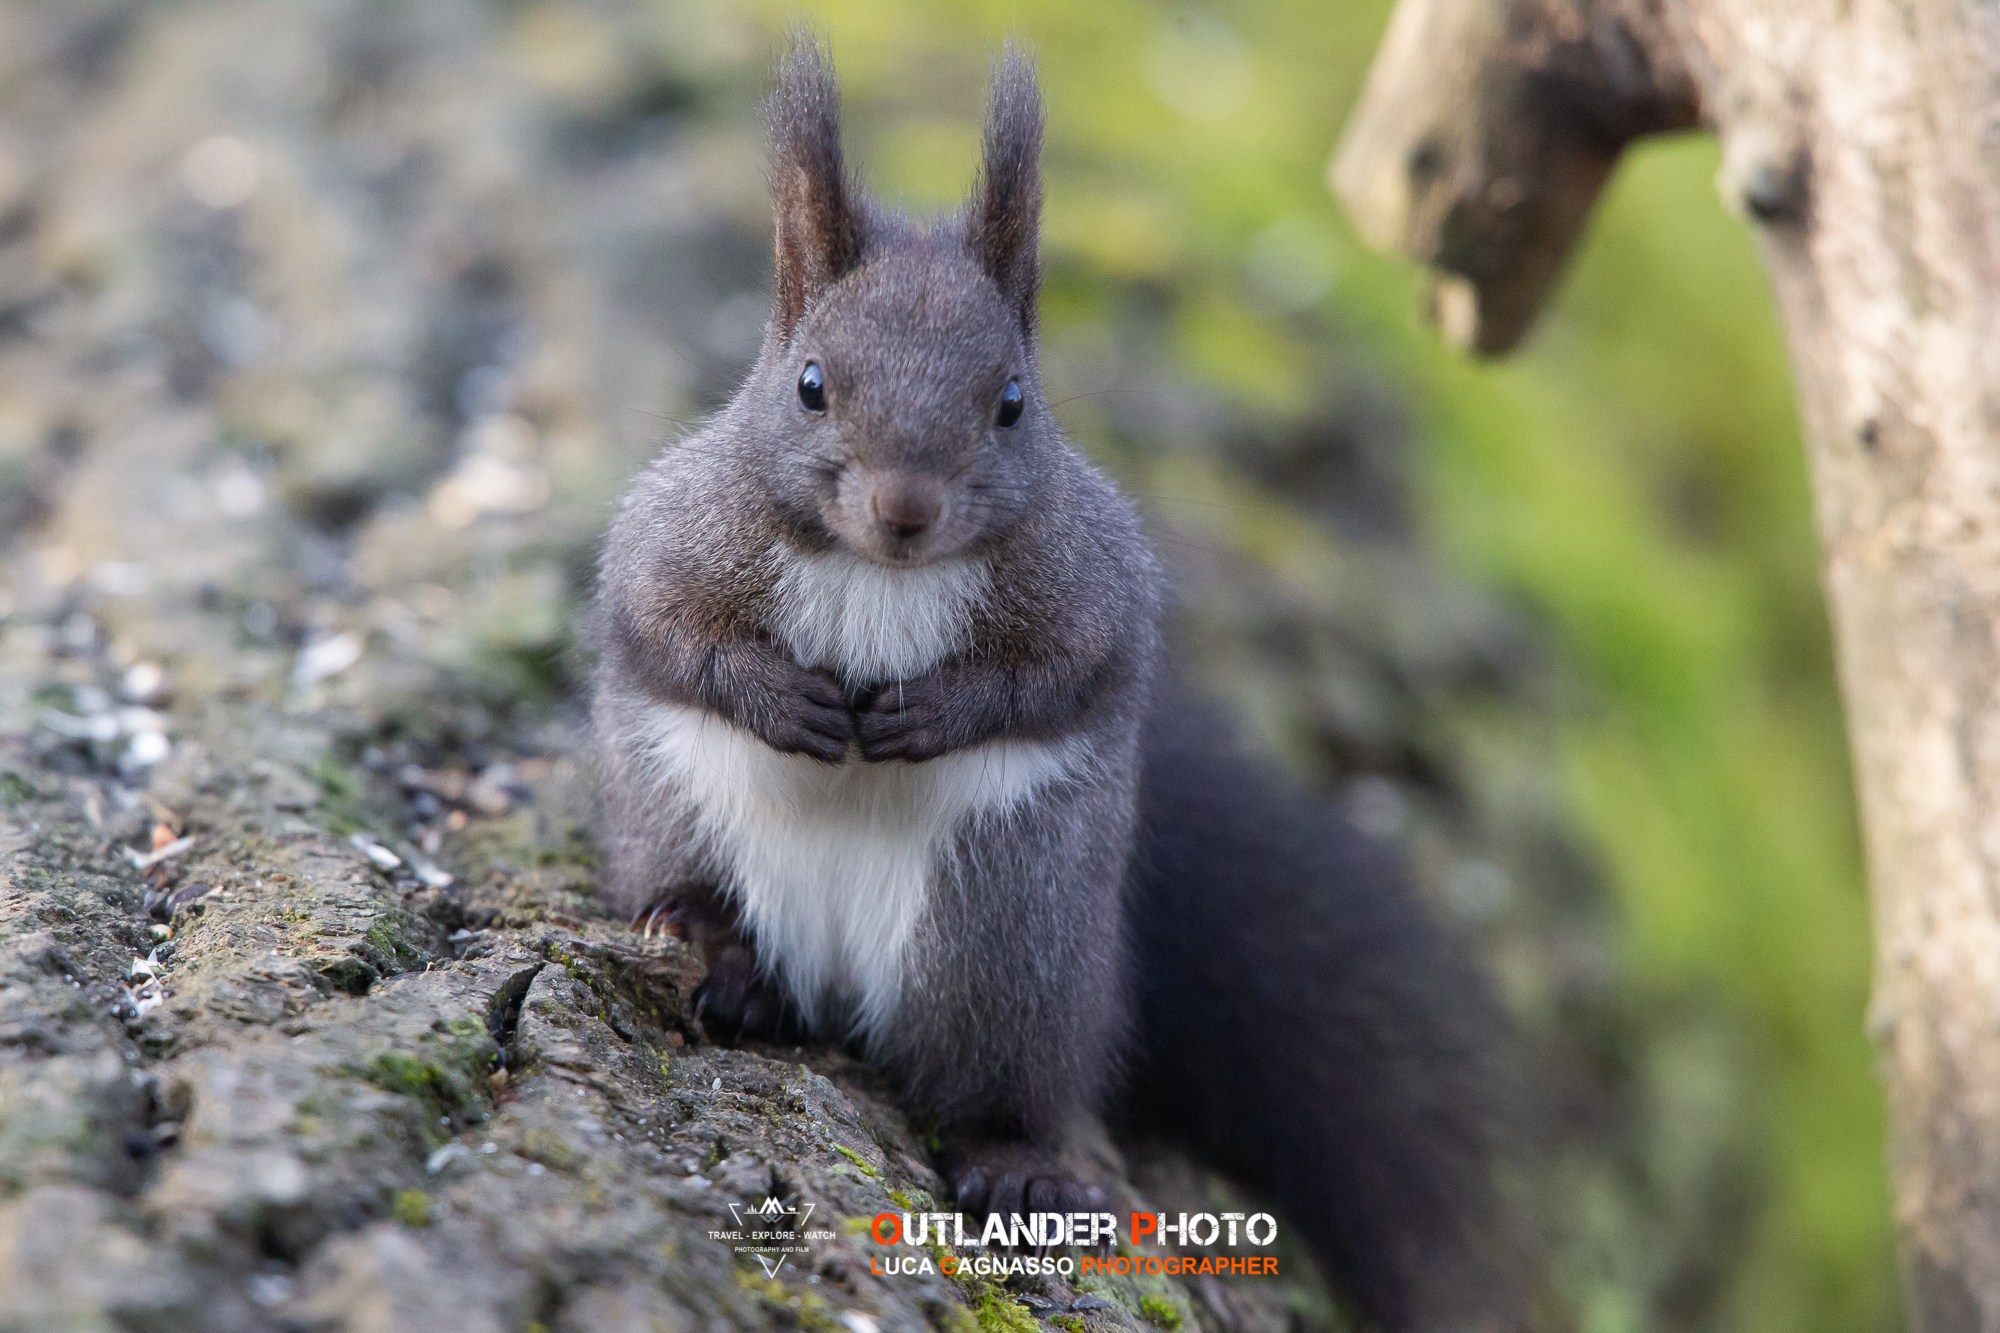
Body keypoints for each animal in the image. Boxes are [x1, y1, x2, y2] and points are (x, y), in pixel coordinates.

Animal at [591, 39, 1525, 1333]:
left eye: (1011, 402)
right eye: (811, 385)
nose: (904, 508)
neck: (882, 574)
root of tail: (830, 982)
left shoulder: (1096, 588)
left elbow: (1068, 672)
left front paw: (935, 710)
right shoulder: (674, 536)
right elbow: (665, 627)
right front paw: (788, 699)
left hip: (1007, 937)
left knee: (990, 1077)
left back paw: (1016, 1160)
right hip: (675, 814)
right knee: (707, 909)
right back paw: (718, 956)